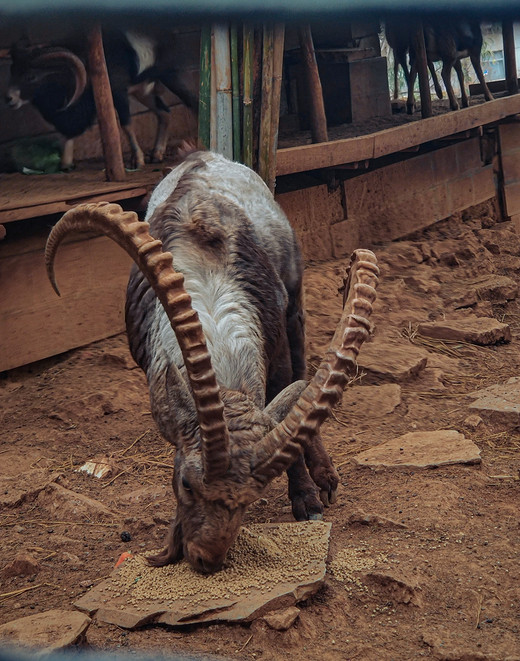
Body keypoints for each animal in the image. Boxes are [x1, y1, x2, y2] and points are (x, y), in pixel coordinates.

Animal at [6, 31, 199, 170]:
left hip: (169, 76)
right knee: (164, 113)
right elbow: (69, 134)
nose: (9, 98)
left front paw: (137, 161)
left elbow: (126, 125)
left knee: (192, 102)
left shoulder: (118, 93)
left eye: (31, 76)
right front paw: (65, 164)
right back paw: (157, 154)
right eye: (13, 72)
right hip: (142, 91)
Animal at [44, 151, 378, 572]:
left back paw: (325, 478)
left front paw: (306, 498)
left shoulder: (277, 348)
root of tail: (204, 155)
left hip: (295, 300)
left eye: (252, 497)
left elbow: (287, 402)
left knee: (303, 372)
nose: (206, 560)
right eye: (186, 483)